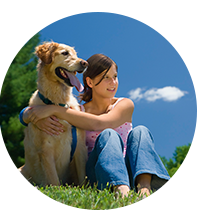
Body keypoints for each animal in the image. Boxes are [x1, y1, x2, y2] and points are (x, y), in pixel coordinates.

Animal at [17, 41, 88, 186]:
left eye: (75, 54)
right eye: (65, 53)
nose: (85, 63)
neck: (60, 103)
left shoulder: (80, 147)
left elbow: (83, 177)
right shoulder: (46, 149)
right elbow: (53, 180)